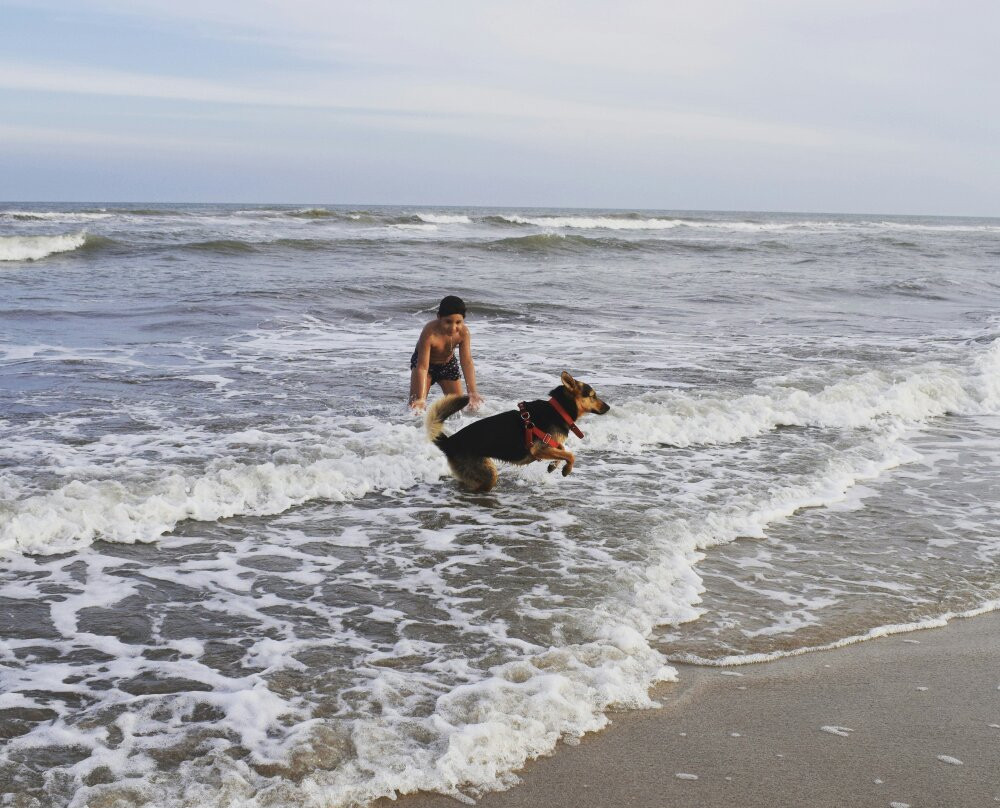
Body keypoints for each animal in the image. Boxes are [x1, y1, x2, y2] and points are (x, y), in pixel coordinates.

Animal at [424, 372, 608, 492]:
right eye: (592, 395)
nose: (608, 407)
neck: (559, 409)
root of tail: (450, 441)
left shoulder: (549, 446)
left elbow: (562, 450)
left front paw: (553, 466)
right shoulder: (538, 449)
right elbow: (570, 455)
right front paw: (566, 469)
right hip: (488, 473)